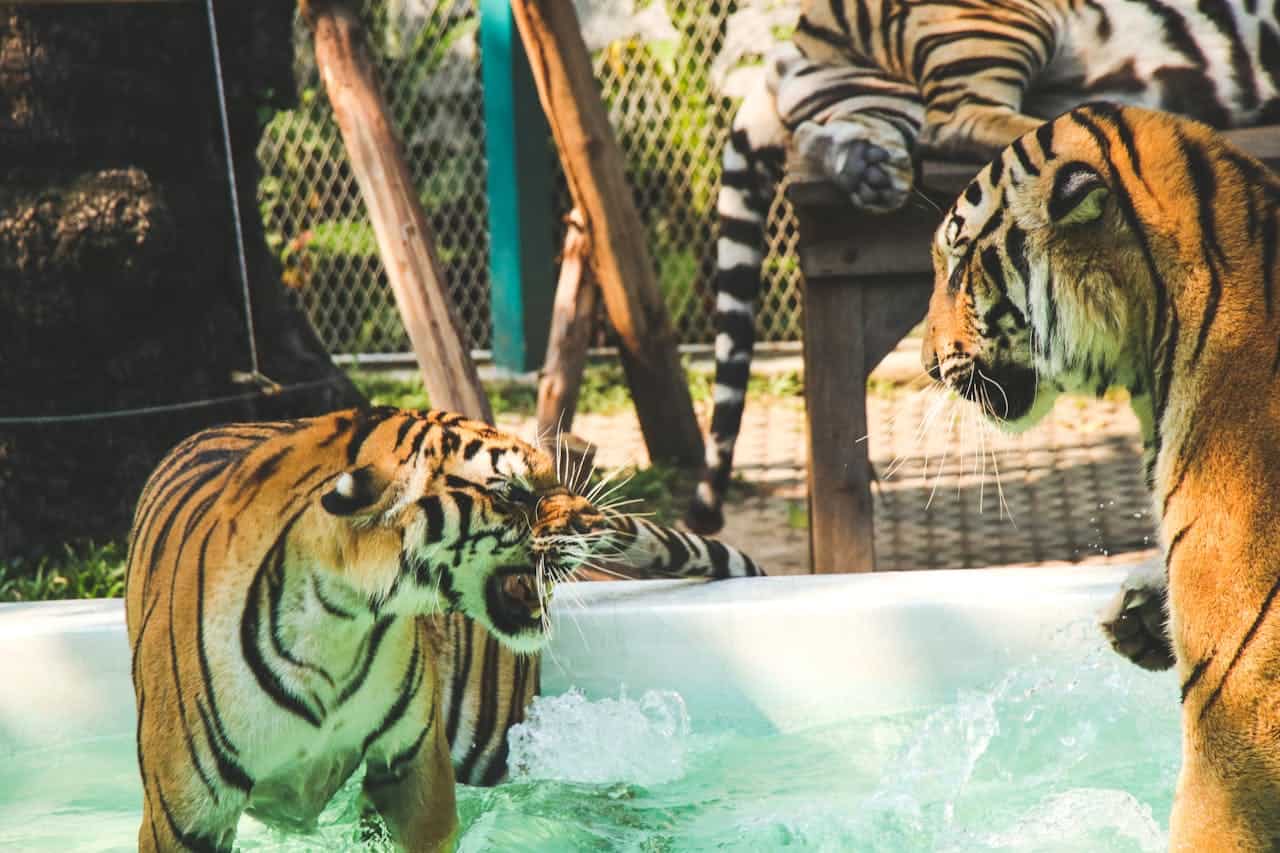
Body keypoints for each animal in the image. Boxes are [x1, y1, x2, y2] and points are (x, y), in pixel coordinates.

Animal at [122, 407, 757, 850]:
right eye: (511, 491)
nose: (593, 518)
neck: (336, 624)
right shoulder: (184, 817)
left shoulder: (412, 764)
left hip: (490, 735)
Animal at [691, 0, 1280, 537]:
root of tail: (794, 38)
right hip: (988, 26)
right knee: (957, 121)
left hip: (873, 97)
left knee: (839, 132)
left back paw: (870, 169)